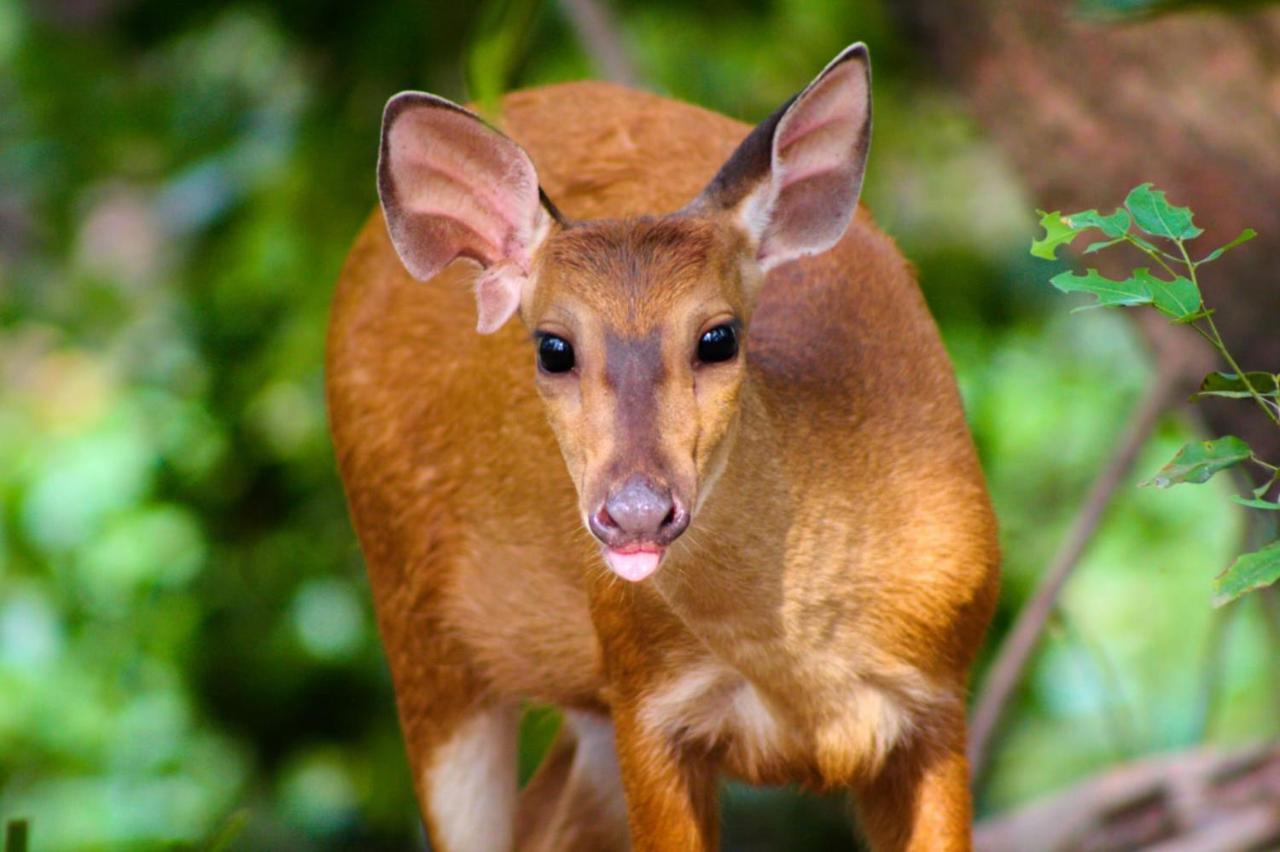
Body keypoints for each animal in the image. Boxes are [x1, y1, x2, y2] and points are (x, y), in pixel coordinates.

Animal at [327, 43, 998, 844]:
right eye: (553, 348)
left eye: (719, 337)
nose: (637, 512)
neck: (804, 675)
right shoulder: (645, 698)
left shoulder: (940, 699)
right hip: (417, 620)